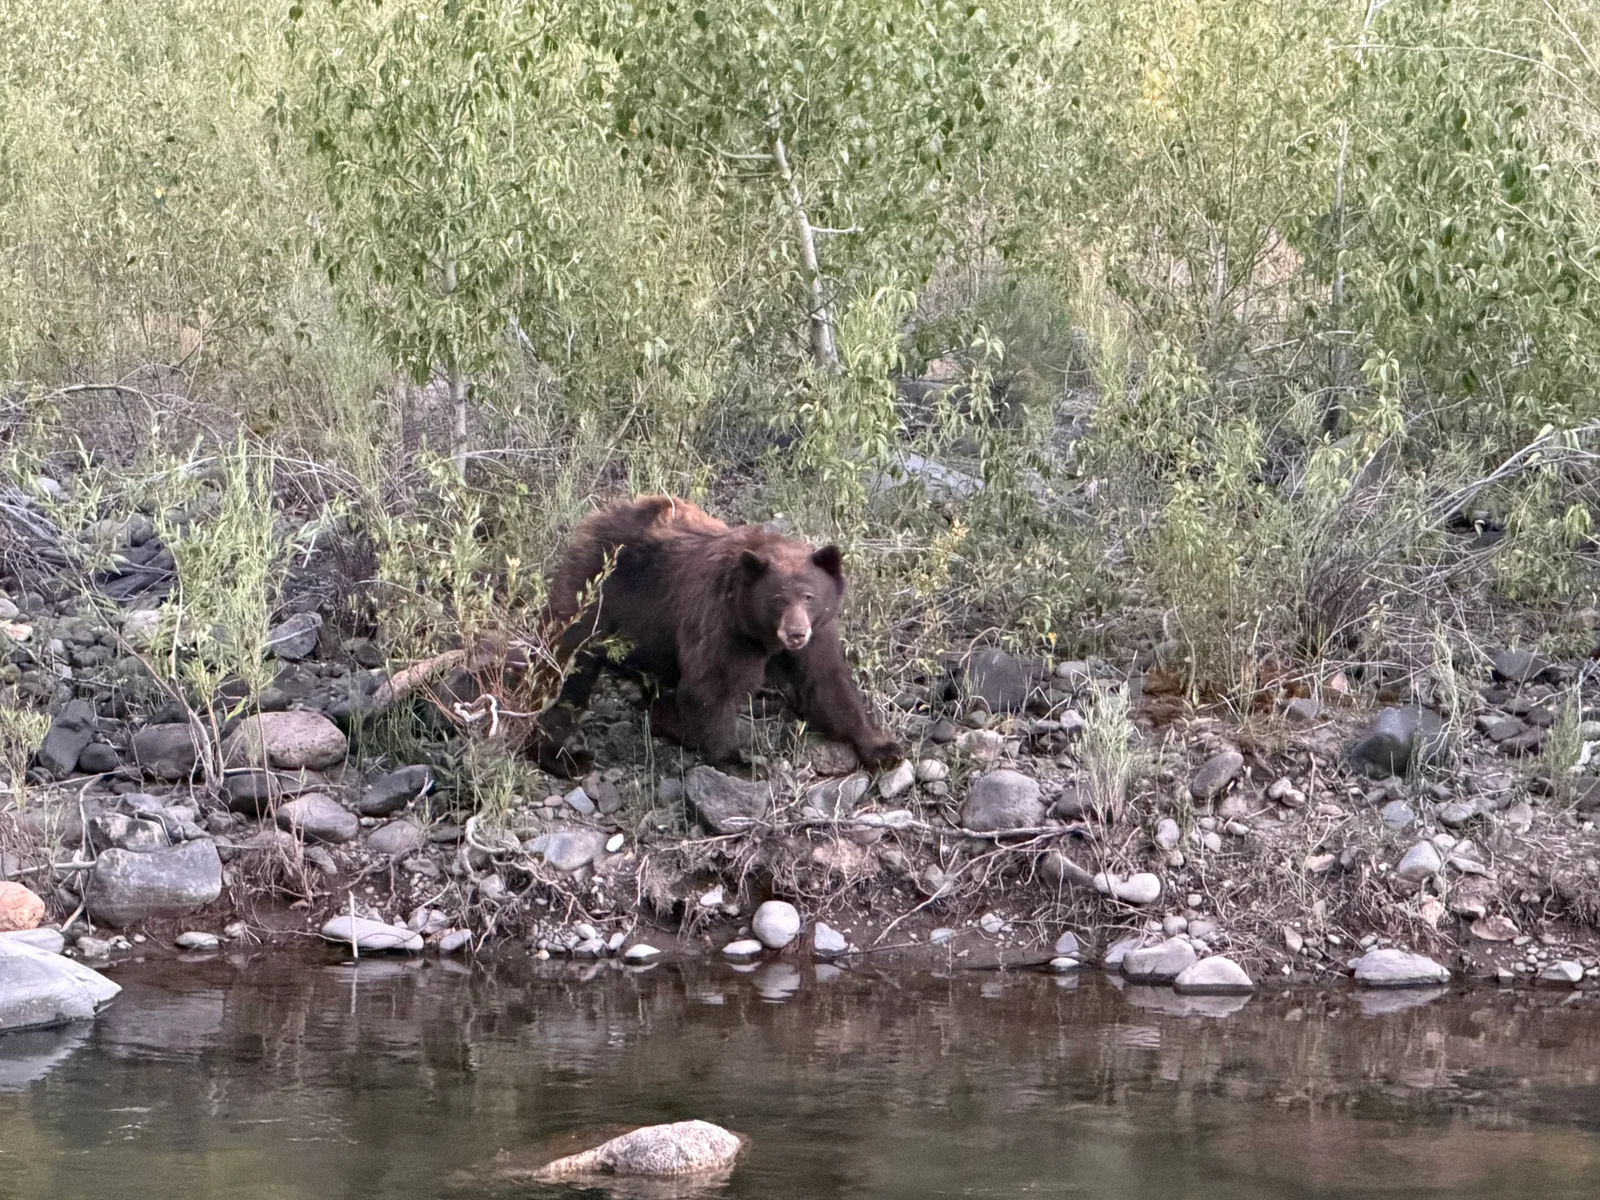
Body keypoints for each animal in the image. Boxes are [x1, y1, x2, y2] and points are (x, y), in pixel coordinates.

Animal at [532, 495, 903, 777]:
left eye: (809, 596)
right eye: (778, 599)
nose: (796, 633)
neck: (759, 631)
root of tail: (595, 518)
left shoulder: (817, 635)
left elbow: (827, 683)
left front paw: (882, 747)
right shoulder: (722, 624)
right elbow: (713, 686)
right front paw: (740, 762)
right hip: (596, 595)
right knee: (566, 671)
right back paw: (562, 757)